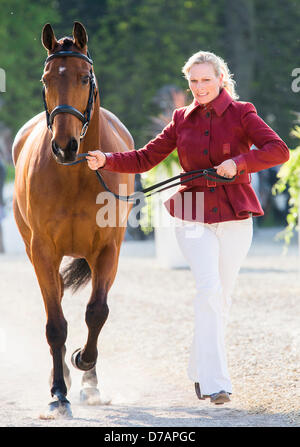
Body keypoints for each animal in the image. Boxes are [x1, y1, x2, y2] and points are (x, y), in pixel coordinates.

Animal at [12, 21, 135, 420]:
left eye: (84, 78)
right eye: (46, 79)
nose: (64, 146)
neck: (77, 174)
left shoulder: (107, 251)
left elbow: (97, 312)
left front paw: (85, 362)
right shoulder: (43, 251)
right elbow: (55, 324)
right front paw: (58, 393)